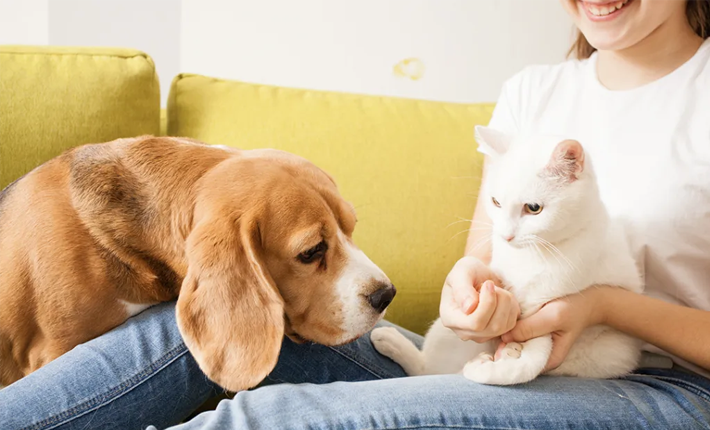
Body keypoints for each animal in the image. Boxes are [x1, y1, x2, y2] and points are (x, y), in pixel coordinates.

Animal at [376, 126, 648, 384]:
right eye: (496, 202)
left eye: (534, 208)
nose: (505, 235)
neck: (533, 255)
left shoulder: (546, 313)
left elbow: (531, 362)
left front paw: (496, 368)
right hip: (445, 331)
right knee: (427, 370)